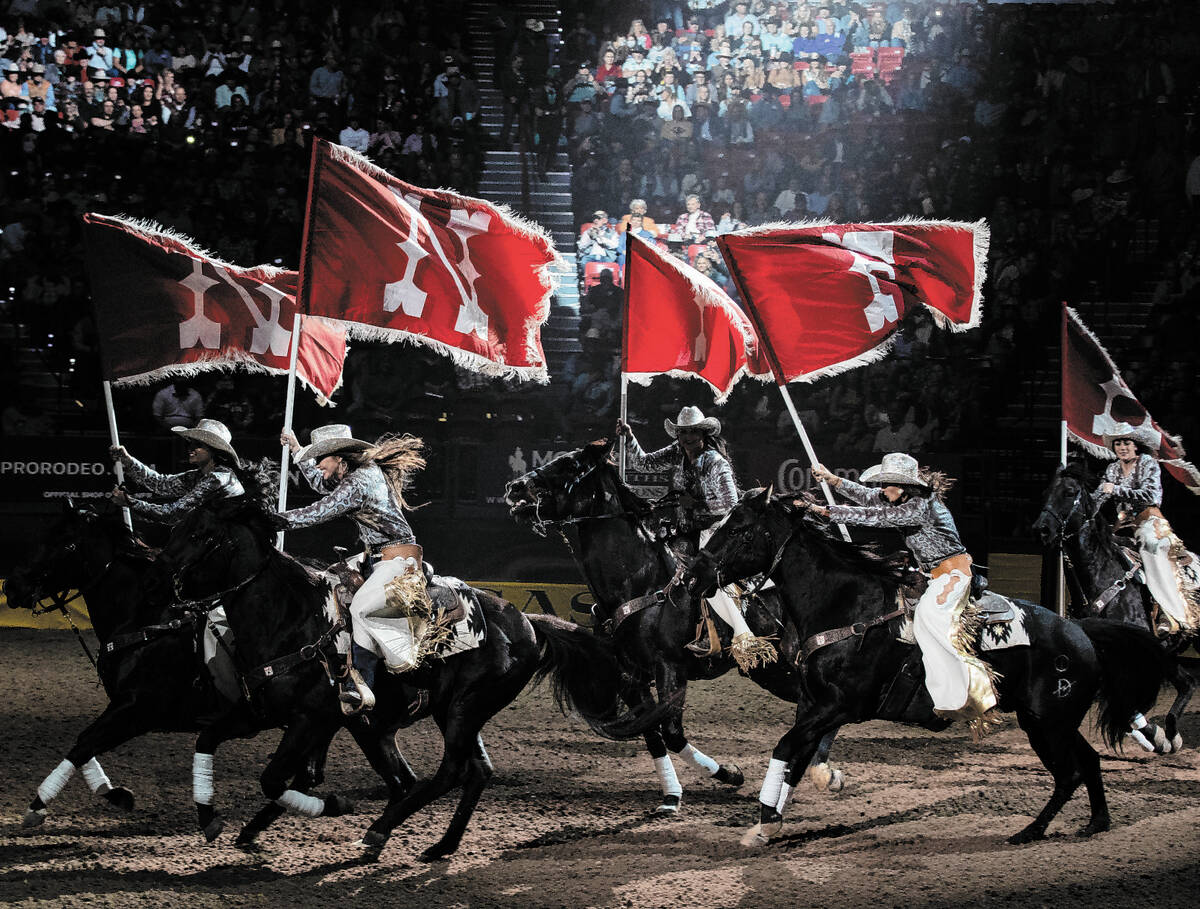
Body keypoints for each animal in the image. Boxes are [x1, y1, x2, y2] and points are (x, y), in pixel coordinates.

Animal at [2, 501, 350, 844]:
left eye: (67, 544)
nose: (12, 586)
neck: (146, 621)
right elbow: (84, 743)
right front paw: (116, 794)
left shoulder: (139, 709)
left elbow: (84, 743)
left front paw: (38, 806)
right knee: (308, 774)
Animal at [159, 498, 667, 863]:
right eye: (180, 526)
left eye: (202, 534)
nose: (165, 576)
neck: (294, 620)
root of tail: (525, 621)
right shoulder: (261, 714)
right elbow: (210, 739)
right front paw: (214, 819)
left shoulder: (309, 720)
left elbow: (275, 778)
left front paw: (332, 807)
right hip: (438, 716)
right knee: (471, 772)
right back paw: (439, 845)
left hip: (461, 710)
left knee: (449, 772)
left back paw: (379, 830)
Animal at [506, 438, 844, 810]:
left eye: (569, 465)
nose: (515, 487)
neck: (639, 581)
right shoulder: (631, 675)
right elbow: (652, 734)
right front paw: (677, 792)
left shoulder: (669, 668)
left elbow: (671, 733)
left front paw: (726, 775)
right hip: (771, 671)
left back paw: (820, 774)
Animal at [681, 491, 1176, 849]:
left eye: (741, 529)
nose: (692, 575)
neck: (847, 605)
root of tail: (1080, 631)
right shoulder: (812, 705)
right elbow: (796, 762)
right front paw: (770, 824)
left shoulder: (836, 707)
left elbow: (786, 749)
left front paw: (765, 821)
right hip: (1053, 721)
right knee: (1088, 761)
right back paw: (1096, 823)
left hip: (1046, 722)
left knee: (1069, 773)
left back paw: (1029, 832)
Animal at [1032, 462, 1190, 753]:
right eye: (1046, 492)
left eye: (1069, 492)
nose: (1042, 530)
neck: (1102, 577)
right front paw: (1151, 736)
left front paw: (1159, 737)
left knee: (1186, 684)